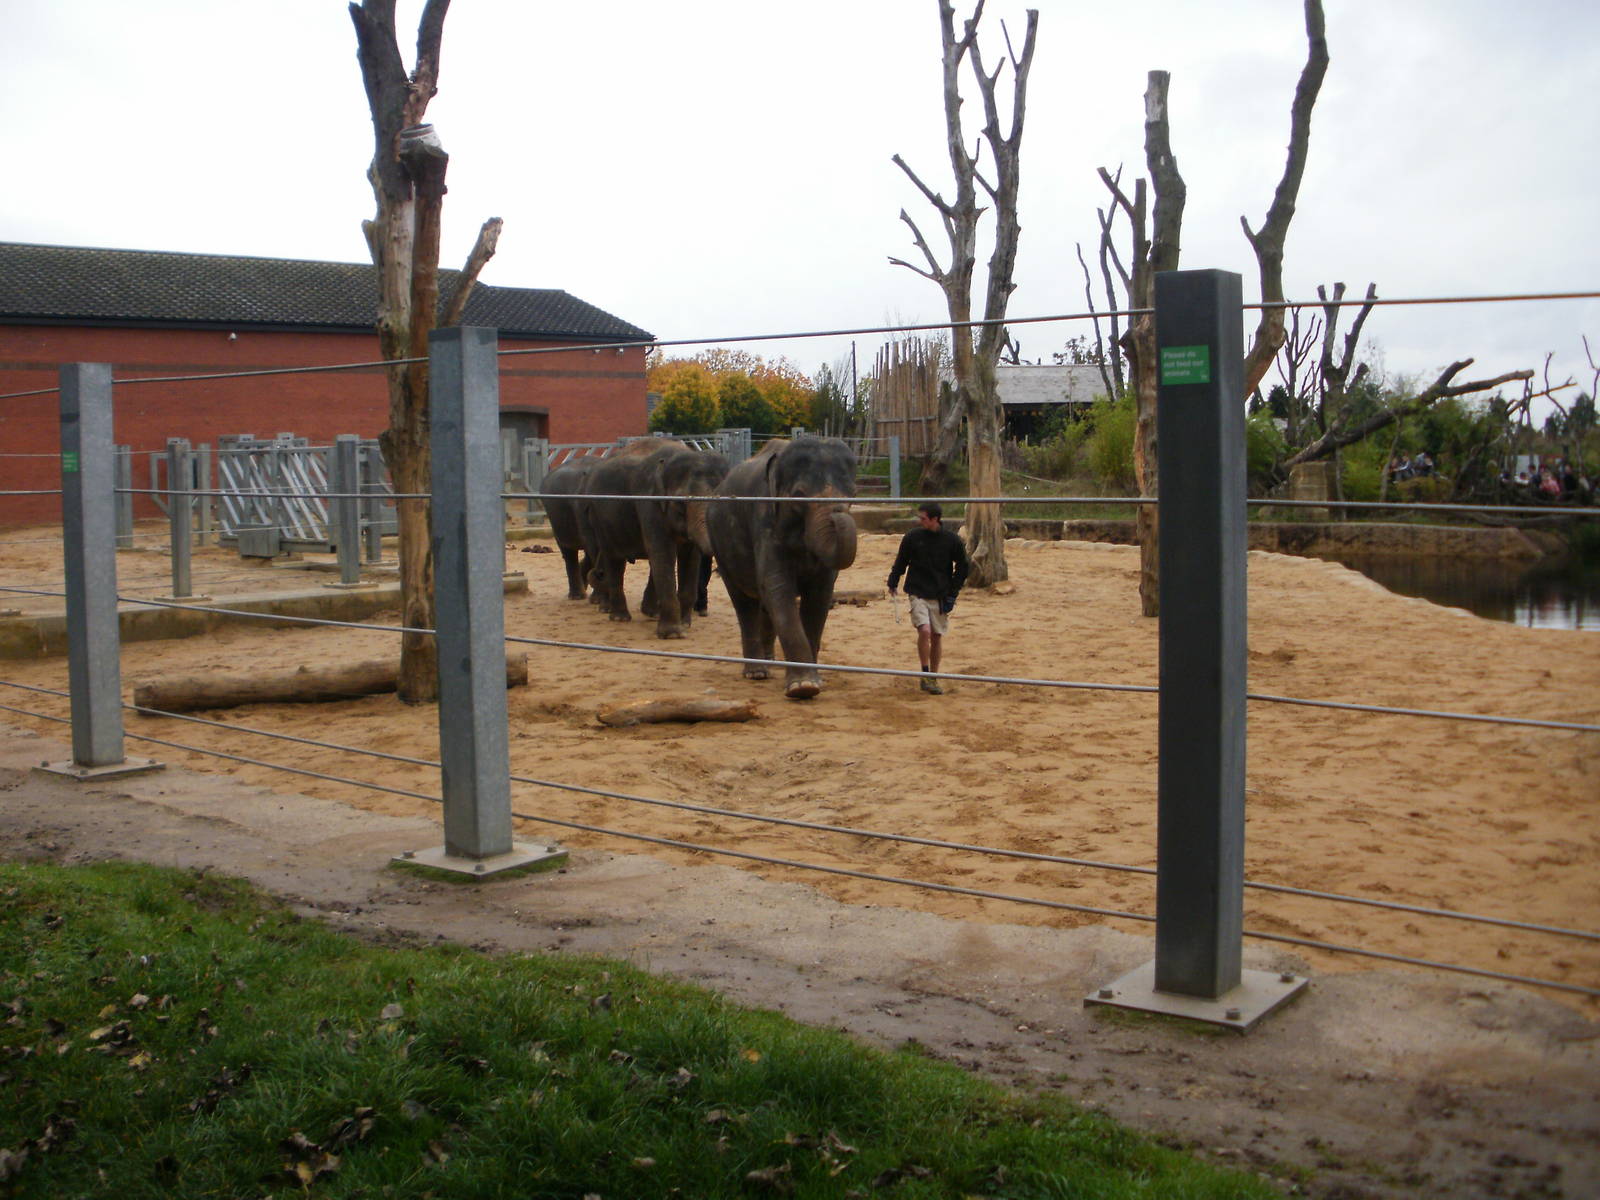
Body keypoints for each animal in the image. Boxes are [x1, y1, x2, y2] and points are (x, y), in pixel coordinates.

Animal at [582, 443, 730, 638]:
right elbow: (662, 551)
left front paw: (685, 624)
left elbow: (690, 557)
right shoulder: (649, 503)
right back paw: (619, 618)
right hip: (599, 517)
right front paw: (673, 634)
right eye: (680, 502)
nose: (598, 573)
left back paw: (650, 613)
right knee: (614, 559)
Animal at [706, 436, 858, 699]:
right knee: (743, 603)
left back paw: (771, 662)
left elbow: (819, 595)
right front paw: (803, 688)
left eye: (853, 496)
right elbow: (777, 586)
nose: (838, 512)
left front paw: (814, 682)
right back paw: (756, 672)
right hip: (720, 546)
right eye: (799, 496)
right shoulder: (764, 518)